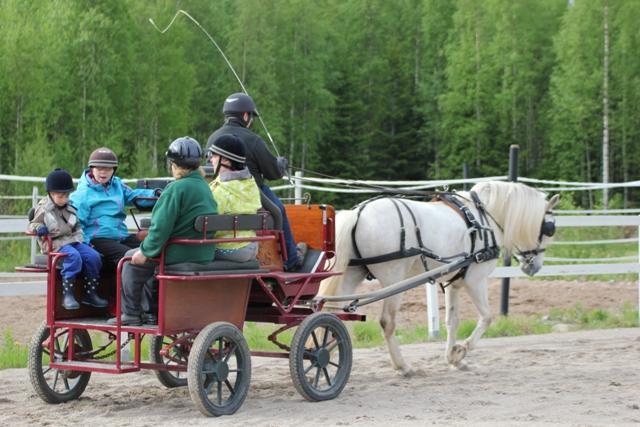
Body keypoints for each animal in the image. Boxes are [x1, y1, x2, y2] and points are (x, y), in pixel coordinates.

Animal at [320, 182, 560, 376]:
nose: (534, 266)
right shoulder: (476, 280)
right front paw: (461, 351)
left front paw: (453, 358)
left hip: (352, 274)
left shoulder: (454, 283)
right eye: (550, 228)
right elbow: (487, 317)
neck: (483, 217)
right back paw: (402, 367)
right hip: (393, 280)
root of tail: (359, 214)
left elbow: (452, 321)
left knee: (334, 313)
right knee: (386, 322)